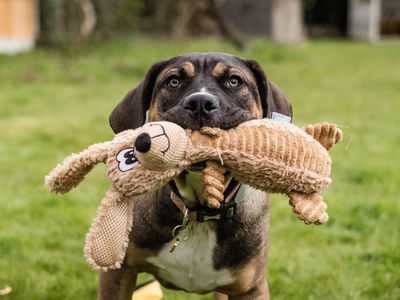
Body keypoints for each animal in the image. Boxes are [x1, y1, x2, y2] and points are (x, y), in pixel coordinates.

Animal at [100, 52, 292, 298]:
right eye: (173, 81)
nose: (200, 102)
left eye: (234, 81)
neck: (200, 211)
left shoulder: (250, 287)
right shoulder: (119, 271)